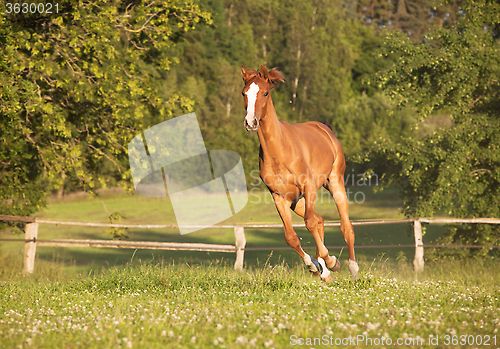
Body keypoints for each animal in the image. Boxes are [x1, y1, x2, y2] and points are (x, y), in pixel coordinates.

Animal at [240, 64, 358, 280]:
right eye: (244, 93)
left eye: (265, 92)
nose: (250, 122)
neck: (279, 152)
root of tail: (325, 129)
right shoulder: (278, 196)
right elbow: (291, 237)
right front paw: (315, 266)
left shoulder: (308, 186)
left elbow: (310, 223)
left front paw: (330, 261)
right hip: (297, 201)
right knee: (320, 221)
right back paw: (325, 271)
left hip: (335, 181)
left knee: (345, 226)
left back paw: (352, 268)